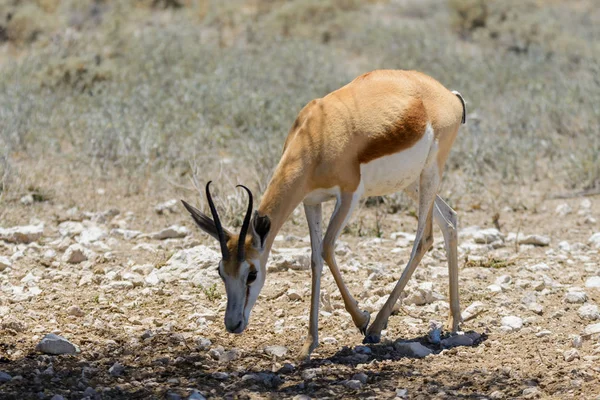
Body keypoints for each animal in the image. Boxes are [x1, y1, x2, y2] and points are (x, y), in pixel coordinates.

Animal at [180, 69, 466, 360]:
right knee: (449, 220)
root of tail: (449, 95)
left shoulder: (349, 195)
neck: (317, 135)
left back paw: (376, 327)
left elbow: (328, 247)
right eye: (220, 271)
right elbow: (315, 259)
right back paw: (454, 321)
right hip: (411, 182)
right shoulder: (311, 201)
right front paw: (308, 345)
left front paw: (362, 319)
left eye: (251, 273)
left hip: (430, 173)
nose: (233, 324)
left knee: (423, 239)